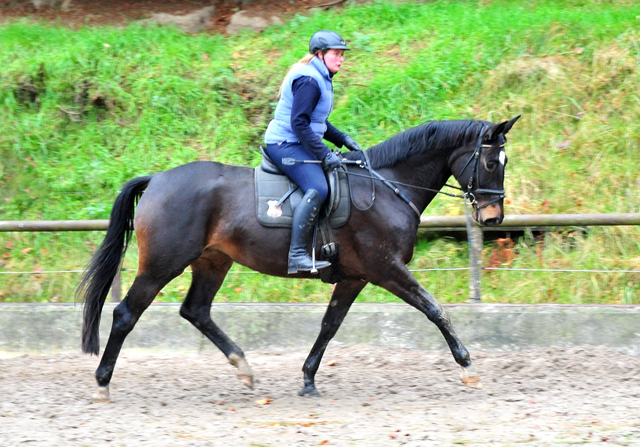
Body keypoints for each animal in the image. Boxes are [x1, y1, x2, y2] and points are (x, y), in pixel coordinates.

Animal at [79, 116, 520, 402]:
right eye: (489, 162)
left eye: (504, 162)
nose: (493, 218)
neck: (389, 186)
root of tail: (157, 179)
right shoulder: (386, 269)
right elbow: (434, 309)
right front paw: (468, 367)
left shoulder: (355, 276)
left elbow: (329, 325)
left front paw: (308, 380)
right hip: (162, 264)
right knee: (126, 314)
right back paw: (101, 383)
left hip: (213, 261)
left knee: (196, 311)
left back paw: (244, 368)